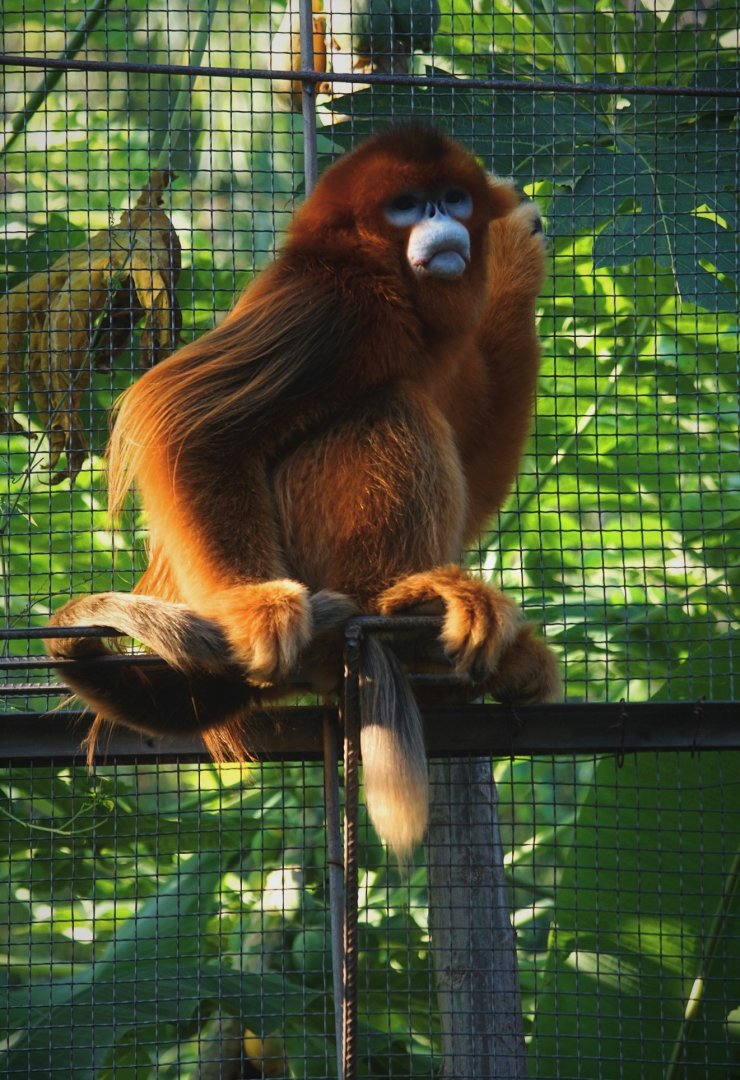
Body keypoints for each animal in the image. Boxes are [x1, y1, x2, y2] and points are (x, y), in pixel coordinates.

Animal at [45, 125, 560, 860]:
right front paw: (255, 608)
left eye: (453, 197)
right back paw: (402, 606)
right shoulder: (340, 304)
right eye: (407, 205)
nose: (441, 219)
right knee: (390, 406)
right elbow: (180, 414)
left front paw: (519, 253)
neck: (390, 276)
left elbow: (479, 468)